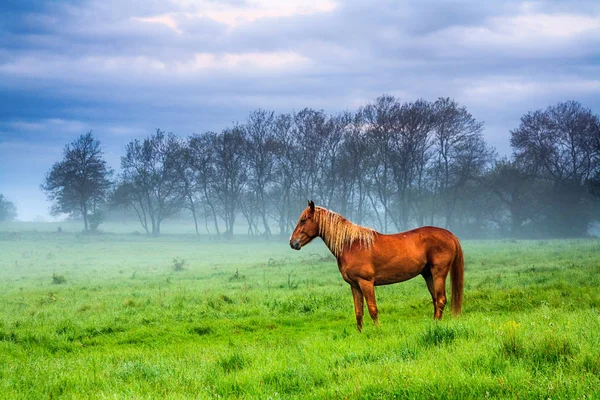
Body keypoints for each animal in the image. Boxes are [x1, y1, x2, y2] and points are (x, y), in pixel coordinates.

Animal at [290, 200, 464, 332]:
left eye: (303, 220)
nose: (293, 243)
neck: (351, 245)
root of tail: (450, 235)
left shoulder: (366, 283)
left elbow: (372, 309)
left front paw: (377, 331)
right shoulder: (355, 285)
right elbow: (358, 312)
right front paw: (360, 333)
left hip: (438, 273)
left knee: (440, 299)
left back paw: (436, 325)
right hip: (428, 275)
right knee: (435, 300)